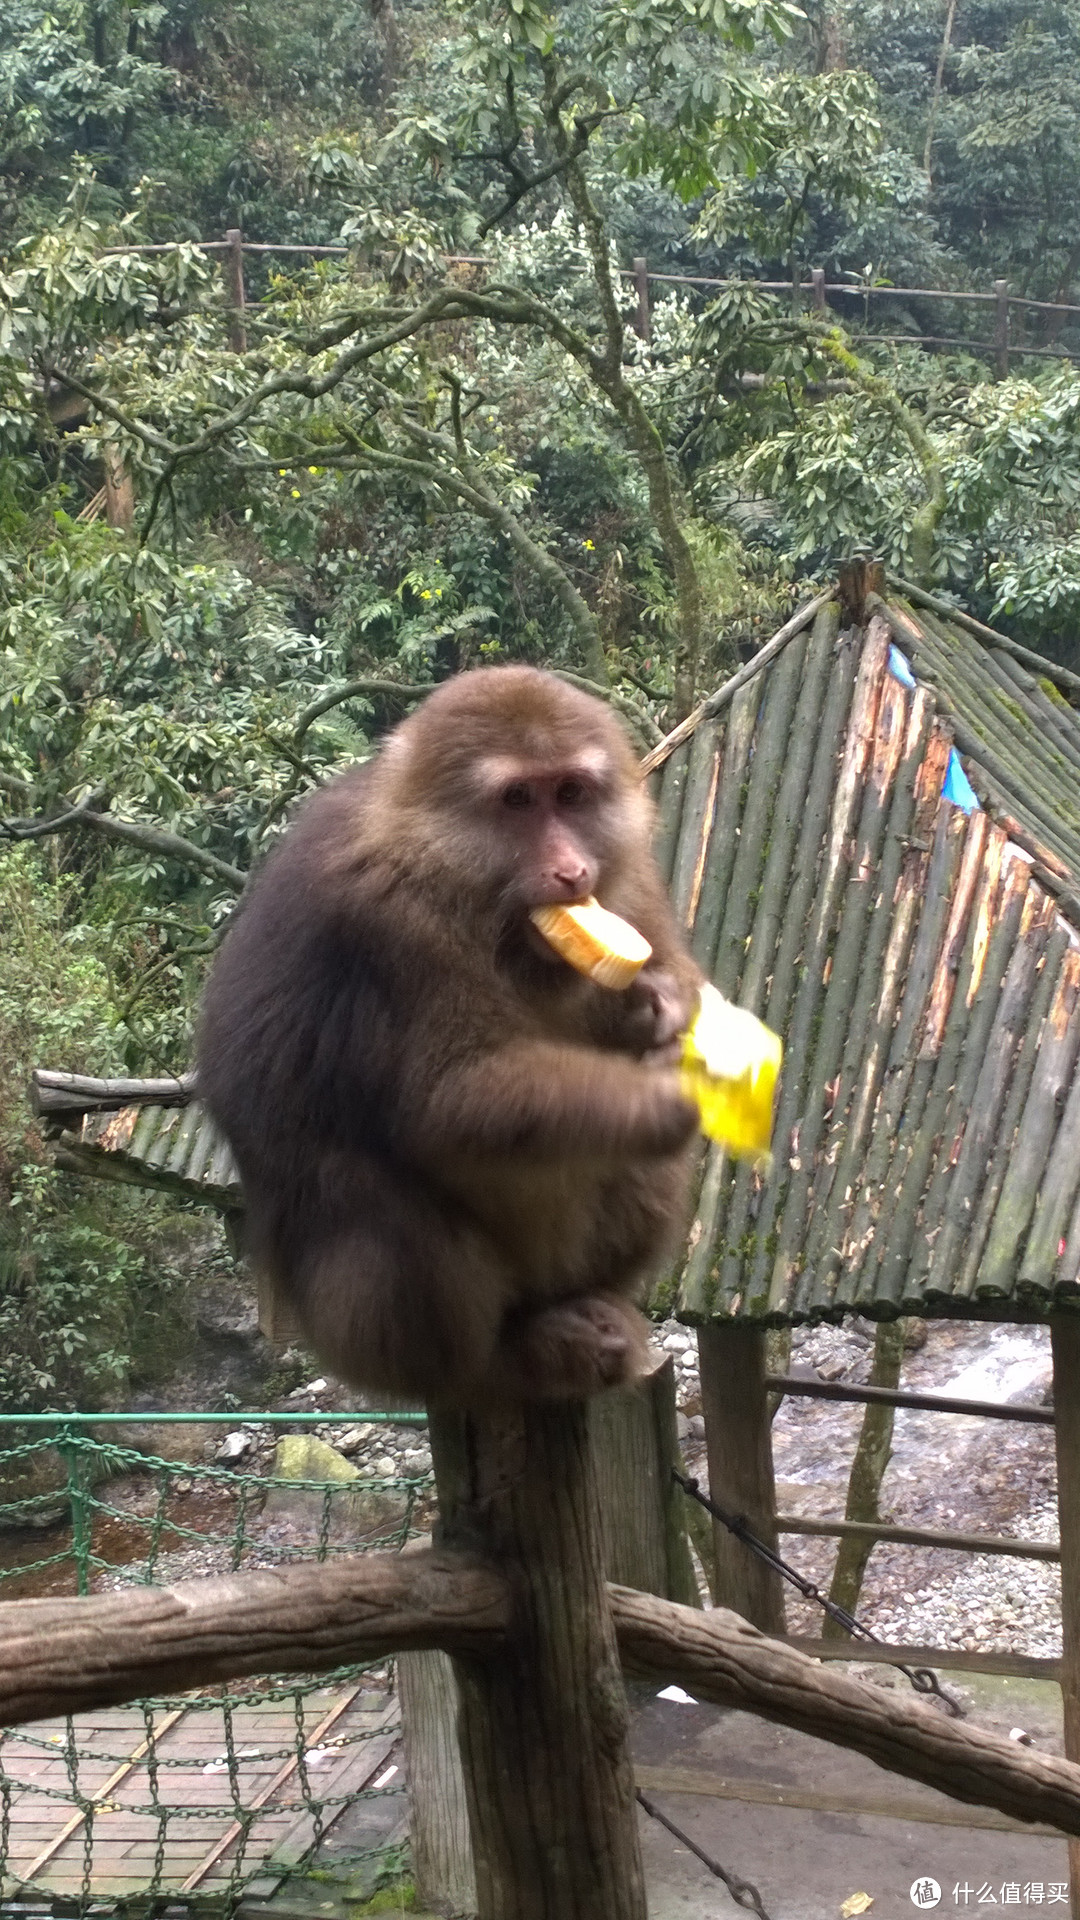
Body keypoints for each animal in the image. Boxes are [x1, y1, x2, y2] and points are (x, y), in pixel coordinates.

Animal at [197, 668, 703, 1405]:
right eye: (517, 799)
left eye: (571, 794)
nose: (572, 871)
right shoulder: (389, 924)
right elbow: (451, 1096)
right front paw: (665, 1099)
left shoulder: (629, 877)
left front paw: (658, 1012)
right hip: (347, 1333)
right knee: (369, 1191)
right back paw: (505, 1354)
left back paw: (585, 1305)